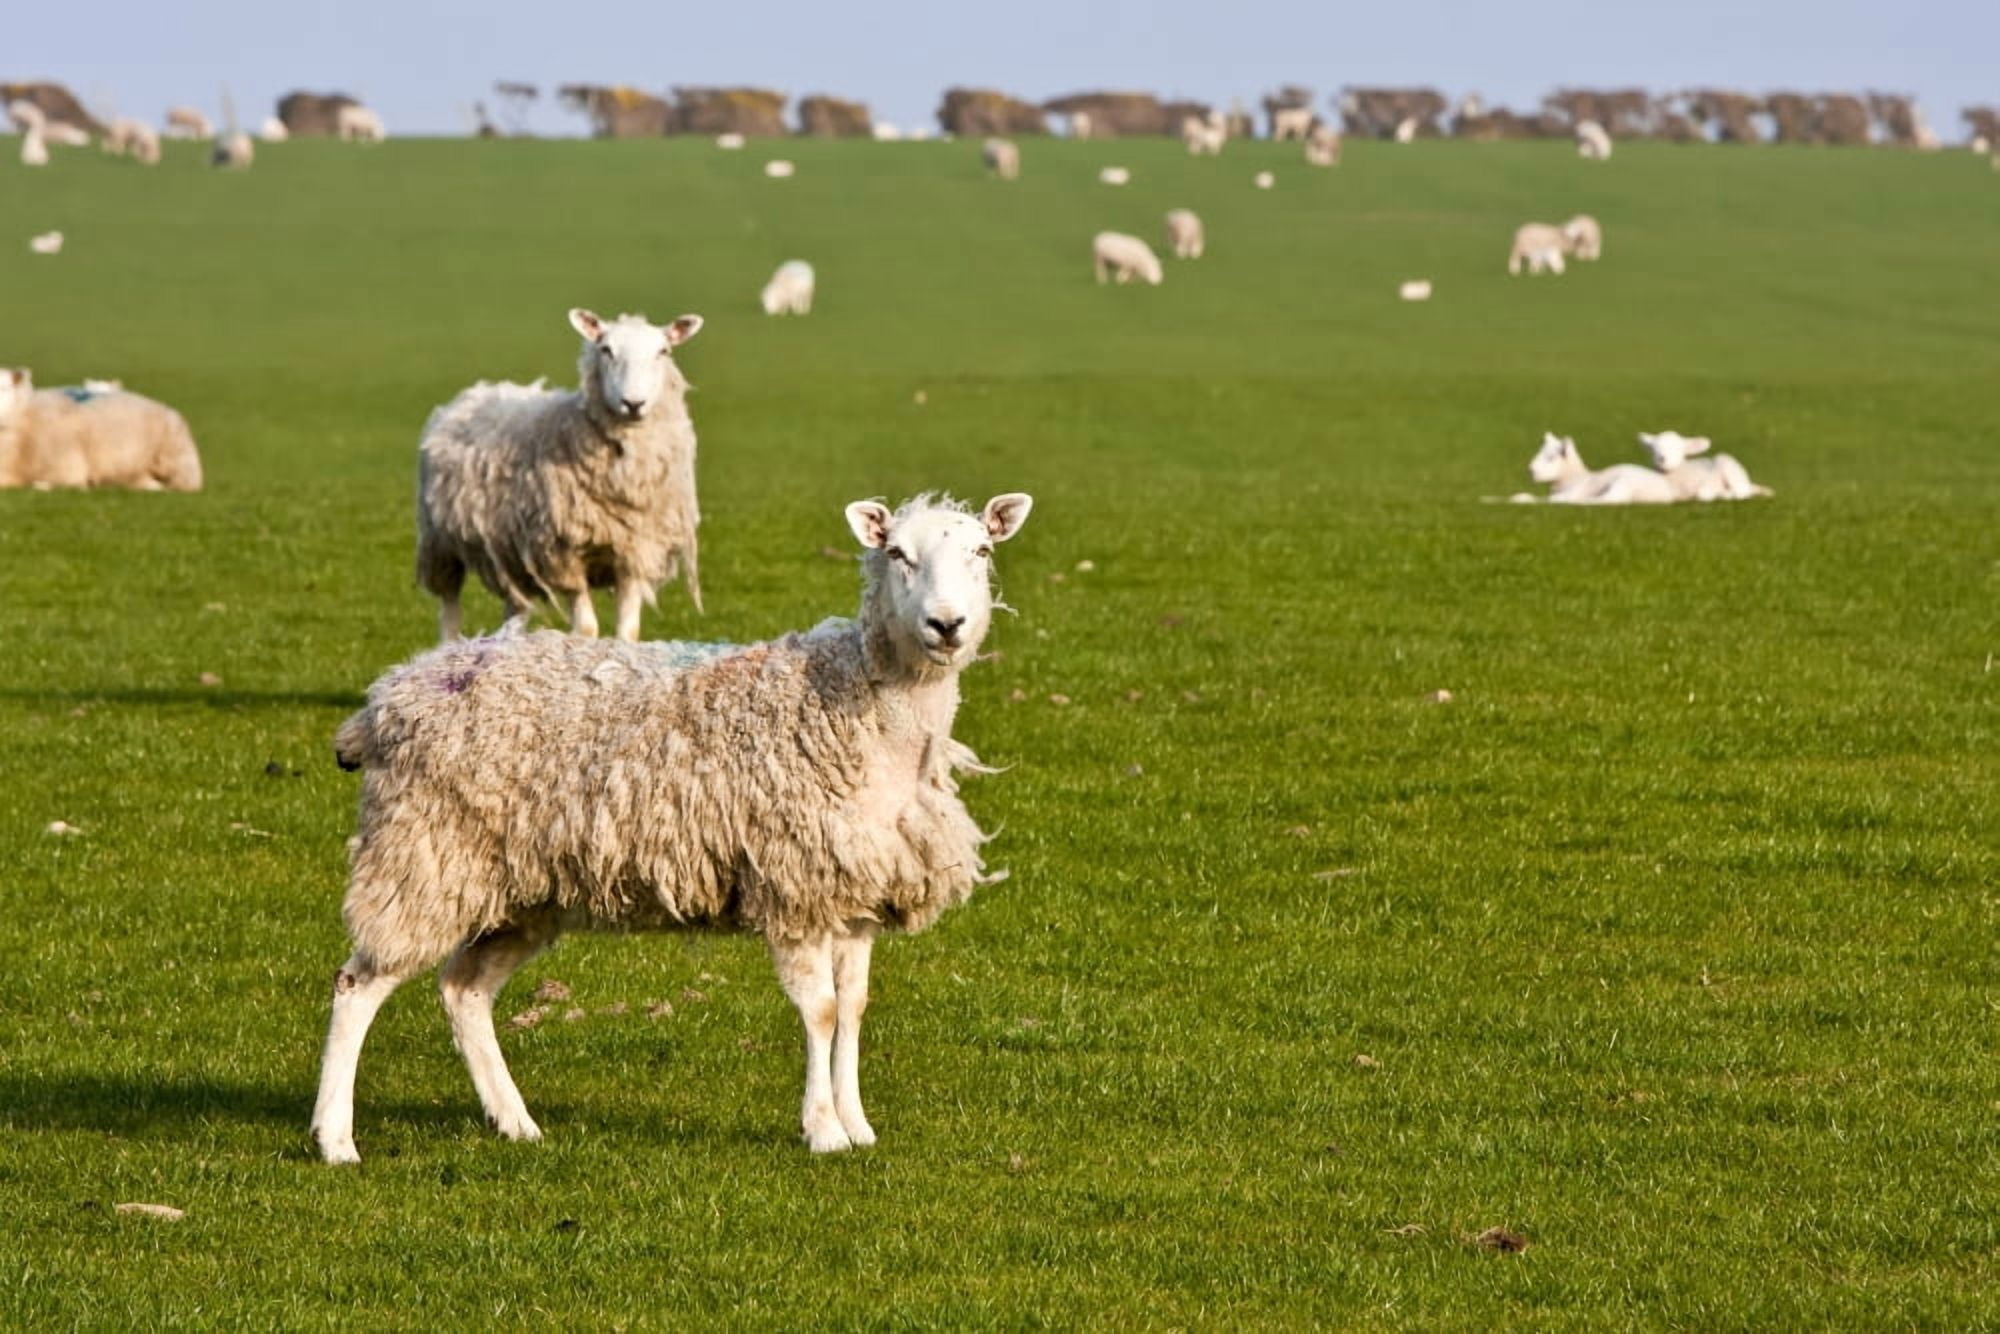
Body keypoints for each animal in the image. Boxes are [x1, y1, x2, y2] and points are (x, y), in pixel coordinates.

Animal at [309, 490, 1035, 1163]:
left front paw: (856, 1124)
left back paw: (515, 1122)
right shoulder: (794, 886)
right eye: (897, 554)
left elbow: (854, 1006)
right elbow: (822, 1010)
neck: (864, 706)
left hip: (518, 887)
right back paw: (336, 1139)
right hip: (421, 855)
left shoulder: (853, 891)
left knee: (464, 990)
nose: (947, 624)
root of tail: (390, 694)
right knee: (357, 987)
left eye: (982, 551)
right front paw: (824, 1130)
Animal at [416, 308, 705, 643]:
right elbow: (587, 628)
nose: (633, 404)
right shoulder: (563, 554)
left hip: (510, 554)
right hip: (440, 544)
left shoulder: (635, 553)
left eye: (664, 351)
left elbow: (629, 631)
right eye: (606, 350)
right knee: (449, 605)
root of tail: (478, 391)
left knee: (514, 608)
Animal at [1527, 432, 1674, 505]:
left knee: (1612, 500)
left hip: (1623, 483)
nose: (1530, 470)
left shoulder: (1572, 492)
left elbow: (1548, 499)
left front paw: (1524, 498)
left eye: (1550, 458)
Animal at [1637, 430, 1772, 501]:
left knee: (1742, 492)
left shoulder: (1707, 482)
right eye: (1654, 449)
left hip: (1727, 465)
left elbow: (1702, 494)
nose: (1662, 458)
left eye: (1678, 449)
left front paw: (1712, 494)